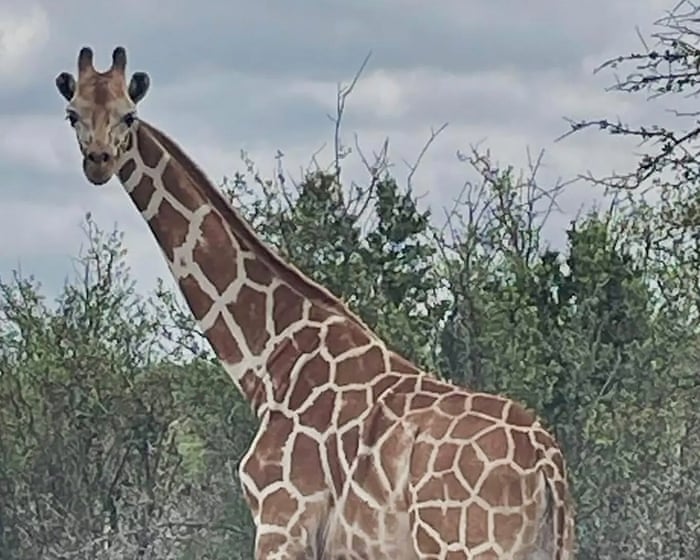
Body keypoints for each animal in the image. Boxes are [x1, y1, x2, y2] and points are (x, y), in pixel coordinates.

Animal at [54, 46, 575, 560]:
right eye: (72, 113)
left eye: (129, 116)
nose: (98, 161)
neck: (269, 359)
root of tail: (548, 463)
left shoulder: (280, 520)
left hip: (466, 545)